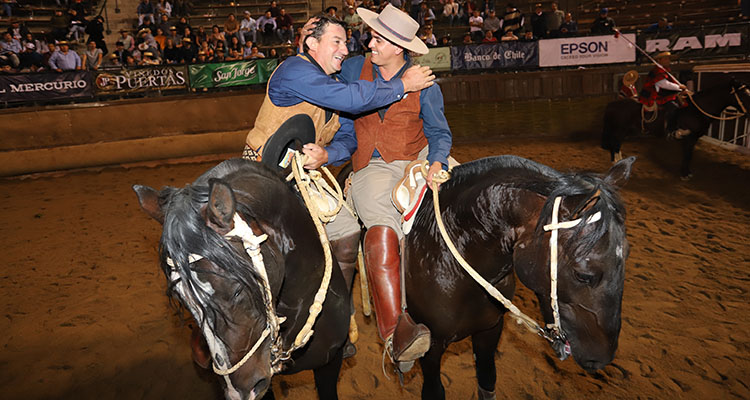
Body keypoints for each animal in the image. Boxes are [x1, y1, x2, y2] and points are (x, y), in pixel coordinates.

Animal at [604, 78, 750, 178]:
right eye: (744, 94)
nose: (749, 112)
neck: (696, 109)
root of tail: (612, 104)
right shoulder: (689, 138)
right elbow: (687, 155)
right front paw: (684, 174)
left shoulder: (693, 138)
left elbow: (689, 156)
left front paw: (687, 173)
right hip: (620, 130)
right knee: (615, 144)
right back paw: (616, 162)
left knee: (615, 145)